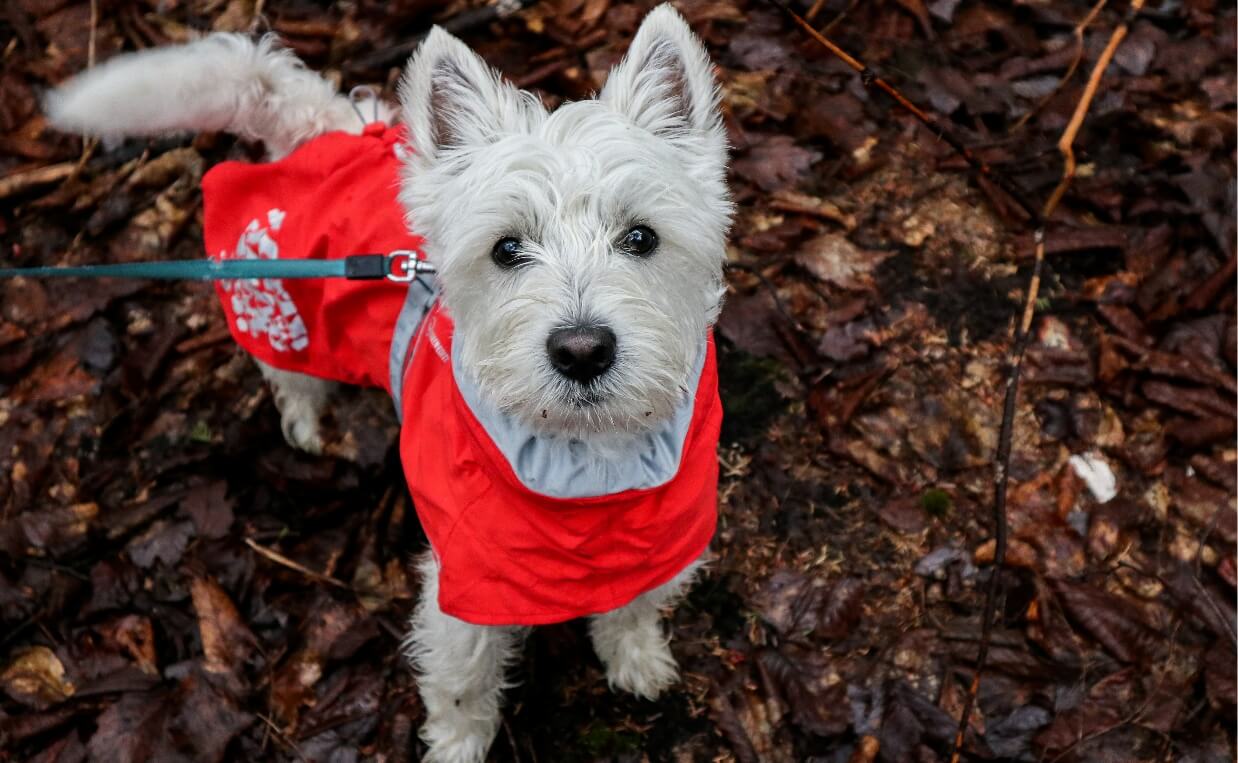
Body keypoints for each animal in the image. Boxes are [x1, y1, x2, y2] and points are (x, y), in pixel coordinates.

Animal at [48, 7, 727, 763]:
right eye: (507, 249)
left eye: (641, 237)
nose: (582, 351)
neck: (589, 464)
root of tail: (323, 125)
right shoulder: (463, 579)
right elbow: (462, 676)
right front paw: (458, 745)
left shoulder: (667, 532)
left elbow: (634, 606)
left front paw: (635, 659)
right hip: (281, 316)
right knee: (288, 377)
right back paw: (309, 424)